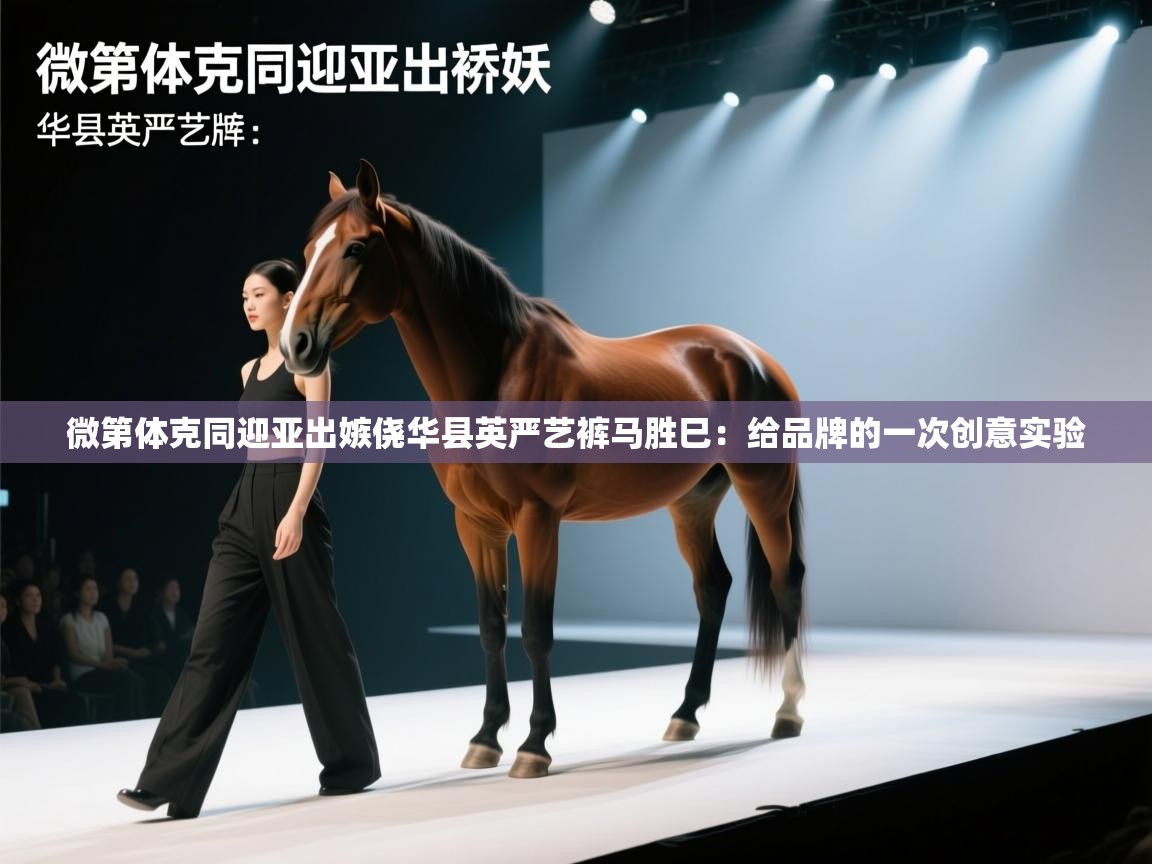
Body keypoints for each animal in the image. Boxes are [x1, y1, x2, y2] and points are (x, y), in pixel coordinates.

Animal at [281, 159, 807, 779]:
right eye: (309, 249)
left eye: (357, 248)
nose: (295, 345)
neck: (496, 375)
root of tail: (753, 356)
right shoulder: (476, 525)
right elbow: (490, 628)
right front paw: (485, 738)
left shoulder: (539, 518)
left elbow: (536, 630)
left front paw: (534, 745)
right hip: (691, 503)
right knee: (712, 588)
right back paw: (685, 715)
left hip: (763, 487)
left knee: (786, 580)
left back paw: (788, 713)